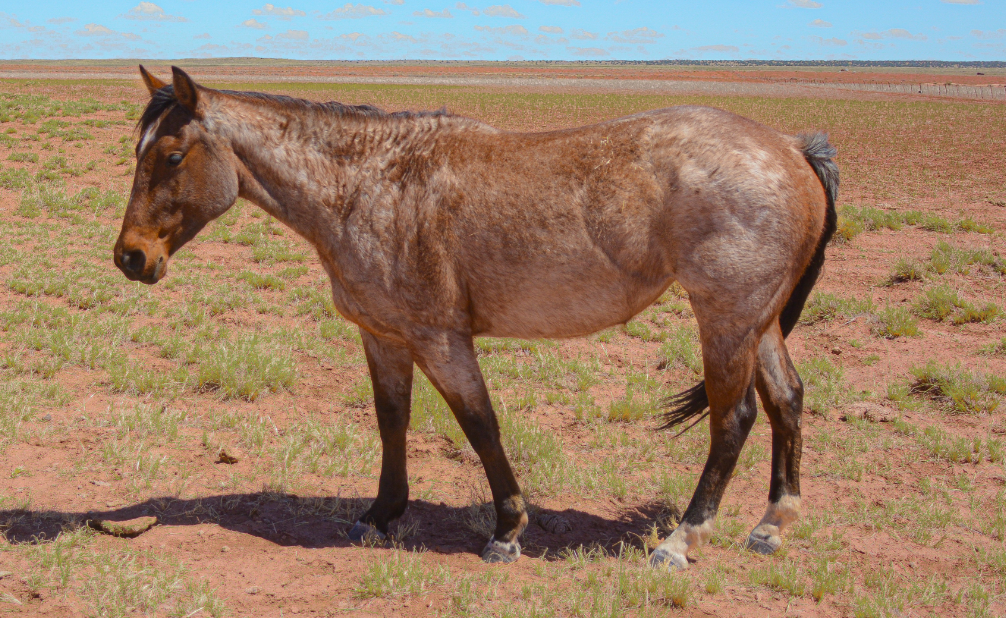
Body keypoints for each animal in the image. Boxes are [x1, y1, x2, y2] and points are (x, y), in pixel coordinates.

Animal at [114, 66, 837, 569]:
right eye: (139, 150)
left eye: (172, 155)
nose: (130, 256)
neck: (368, 184)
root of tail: (789, 145)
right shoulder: (382, 335)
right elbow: (393, 420)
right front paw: (380, 516)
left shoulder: (440, 338)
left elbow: (479, 424)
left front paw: (507, 530)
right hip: (758, 321)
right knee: (787, 399)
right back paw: (772, 525)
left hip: (726, 319)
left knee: (733, 418)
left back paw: (682, 540)